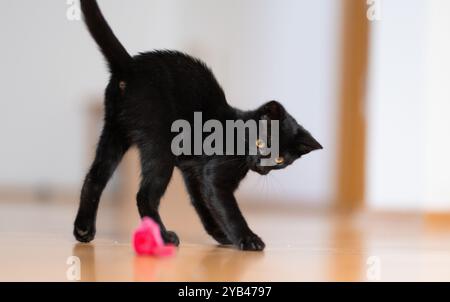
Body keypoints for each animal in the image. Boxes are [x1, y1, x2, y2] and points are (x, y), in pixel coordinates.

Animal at [74, 0, 320, 250]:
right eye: (261, 143)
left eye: (279, 160)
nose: (262, 166)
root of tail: (130, 66)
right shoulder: (214, 177)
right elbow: (230, 211)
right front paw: (247, 238)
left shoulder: (194, 173)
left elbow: (204, 205)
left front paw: (221, 235)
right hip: (159, 147)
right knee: (144, 196)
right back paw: (164, 237)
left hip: (115, 131)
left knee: (94, 178)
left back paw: (83, 229)